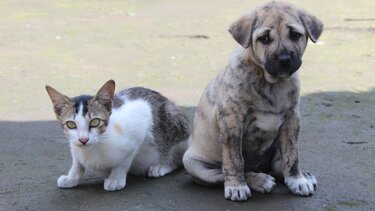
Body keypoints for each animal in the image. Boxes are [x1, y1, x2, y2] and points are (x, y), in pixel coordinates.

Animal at [46, 79, 191, 191]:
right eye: (71, 124)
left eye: (95, 122)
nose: (83, 139)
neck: (96, 145)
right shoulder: (74, 145)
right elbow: (77, 162)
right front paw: (71, 177)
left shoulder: (140, 121)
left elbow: (124, 162)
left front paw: (116, 178)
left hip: (174, 120)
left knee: (176, 158)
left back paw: (162, 165)